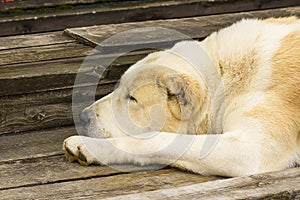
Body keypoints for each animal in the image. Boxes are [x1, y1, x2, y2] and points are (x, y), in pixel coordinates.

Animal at [63, 17, 300, 177]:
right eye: (118, 88)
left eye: (132, 98)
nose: (83, 117)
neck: (223, 74)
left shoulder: (249, 148)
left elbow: (156, 140)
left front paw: (87, 146)